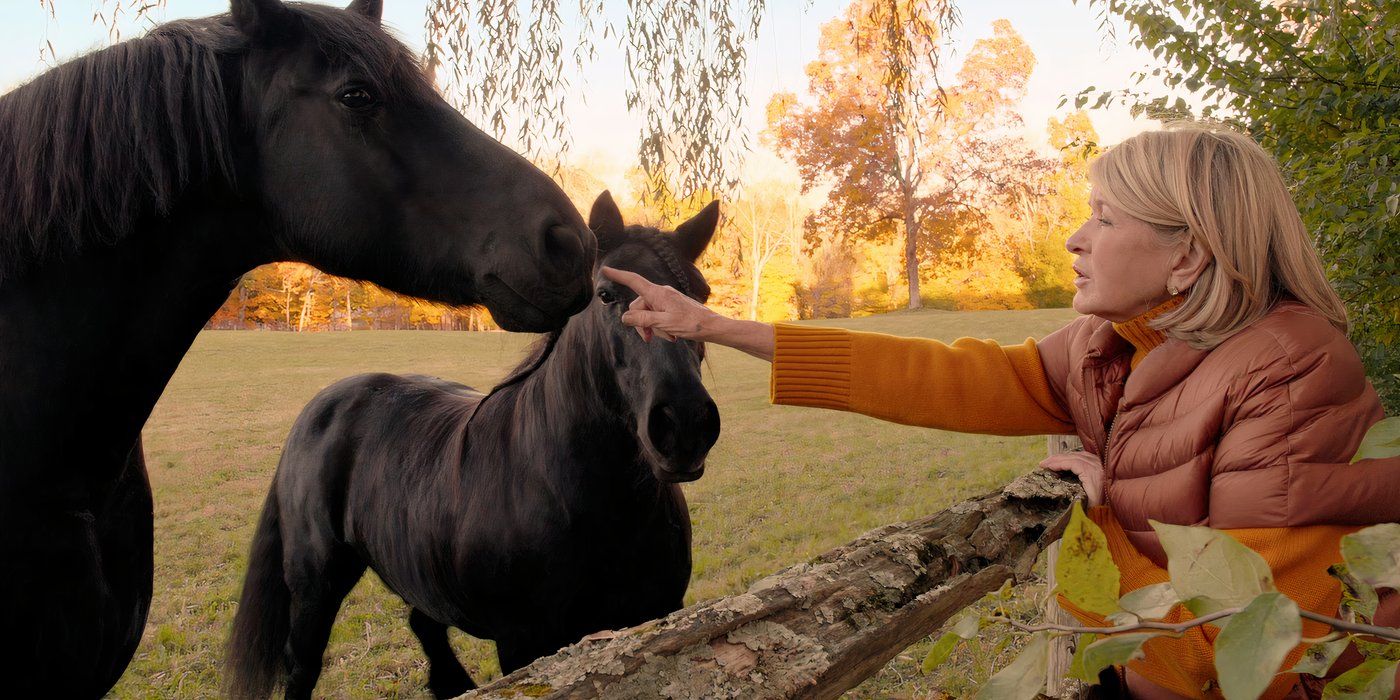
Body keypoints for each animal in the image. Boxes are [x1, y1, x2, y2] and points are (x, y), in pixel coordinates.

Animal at [226, 193, 722, 700]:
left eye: (700, 296)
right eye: (605, 294)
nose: (684, 425)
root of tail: (322, 404)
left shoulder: (657, 615)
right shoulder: (526, 645)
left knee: (425, 624)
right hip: (315, 585)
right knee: (303, 664)